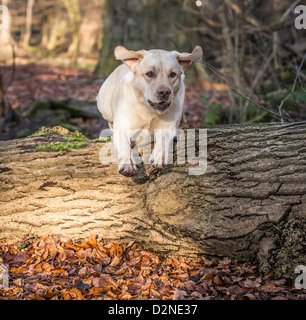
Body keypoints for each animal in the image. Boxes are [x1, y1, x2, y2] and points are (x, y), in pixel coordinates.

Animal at [97, 45, 203, 176]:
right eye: (150, 73)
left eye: (173, 74)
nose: (165, 92)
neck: (149, 110)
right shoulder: (122, 128)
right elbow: (124, 145)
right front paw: (127, 164)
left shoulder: (167, 126)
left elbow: (163, 140)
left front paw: (159, 157)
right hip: (104, 105)